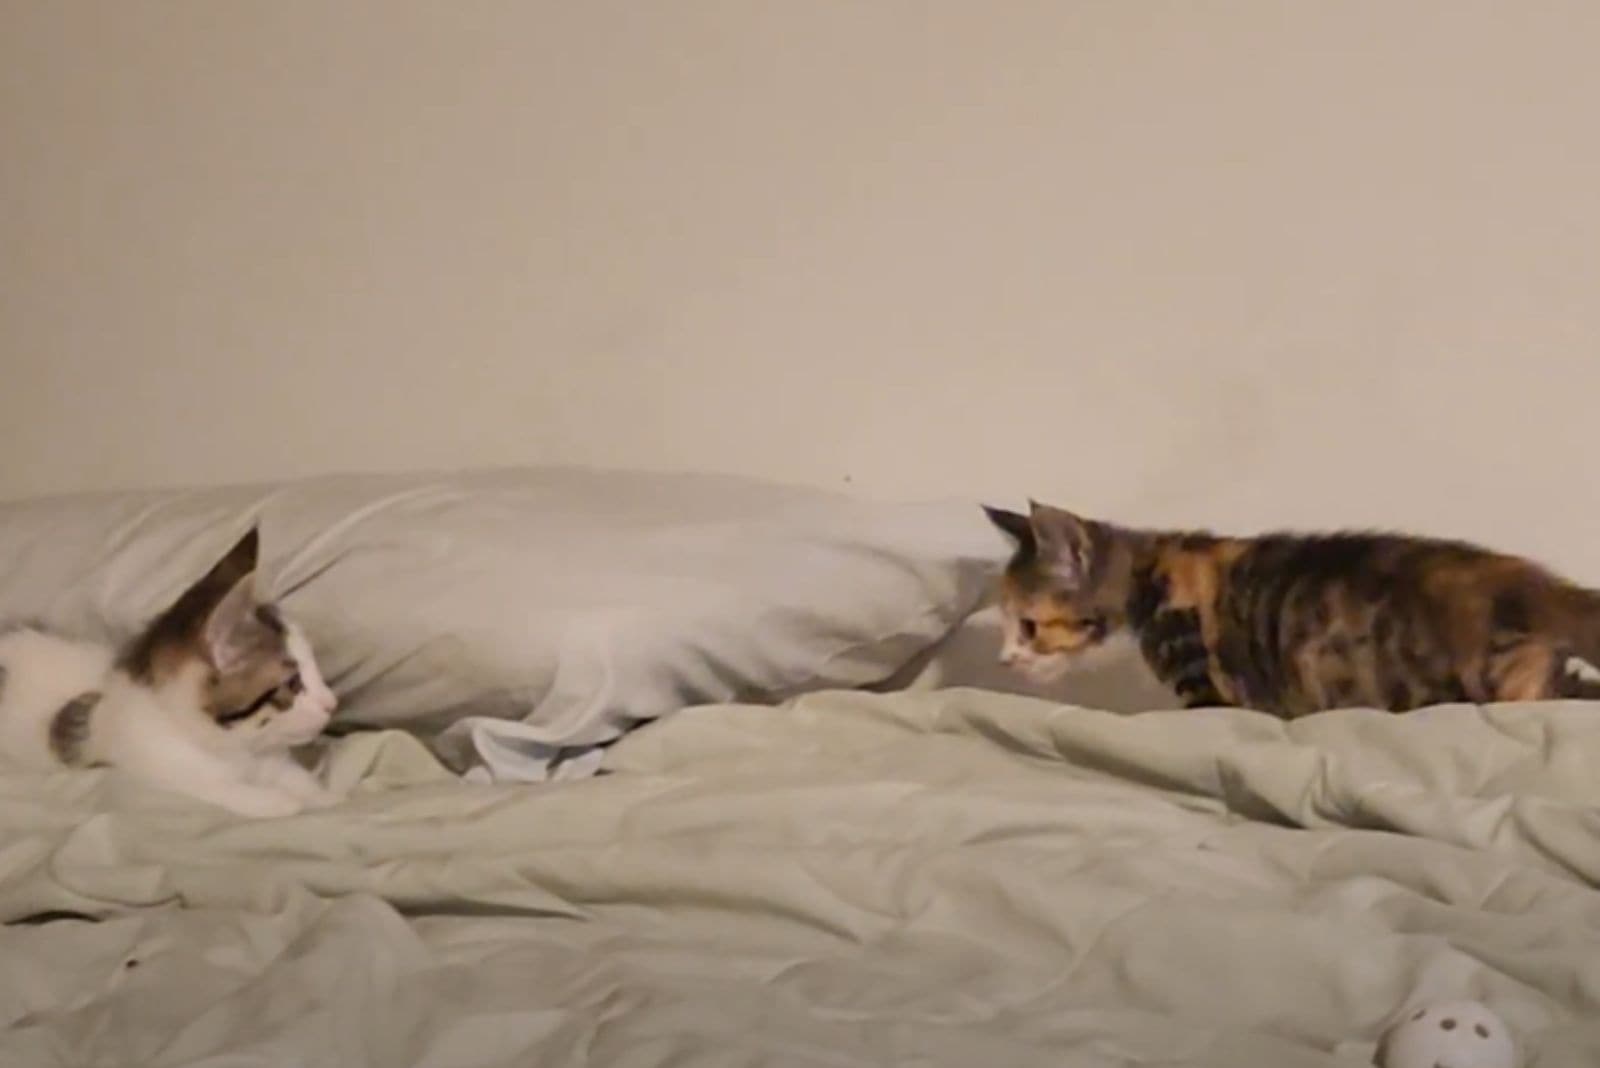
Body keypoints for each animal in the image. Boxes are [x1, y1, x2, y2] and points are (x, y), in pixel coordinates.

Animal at [0, 527, 340, 818]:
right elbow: (218, 790)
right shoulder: (149, 769)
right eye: (294, 684)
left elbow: (296, 779)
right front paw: (279, 802)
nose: (332, 703)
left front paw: (322, 796)